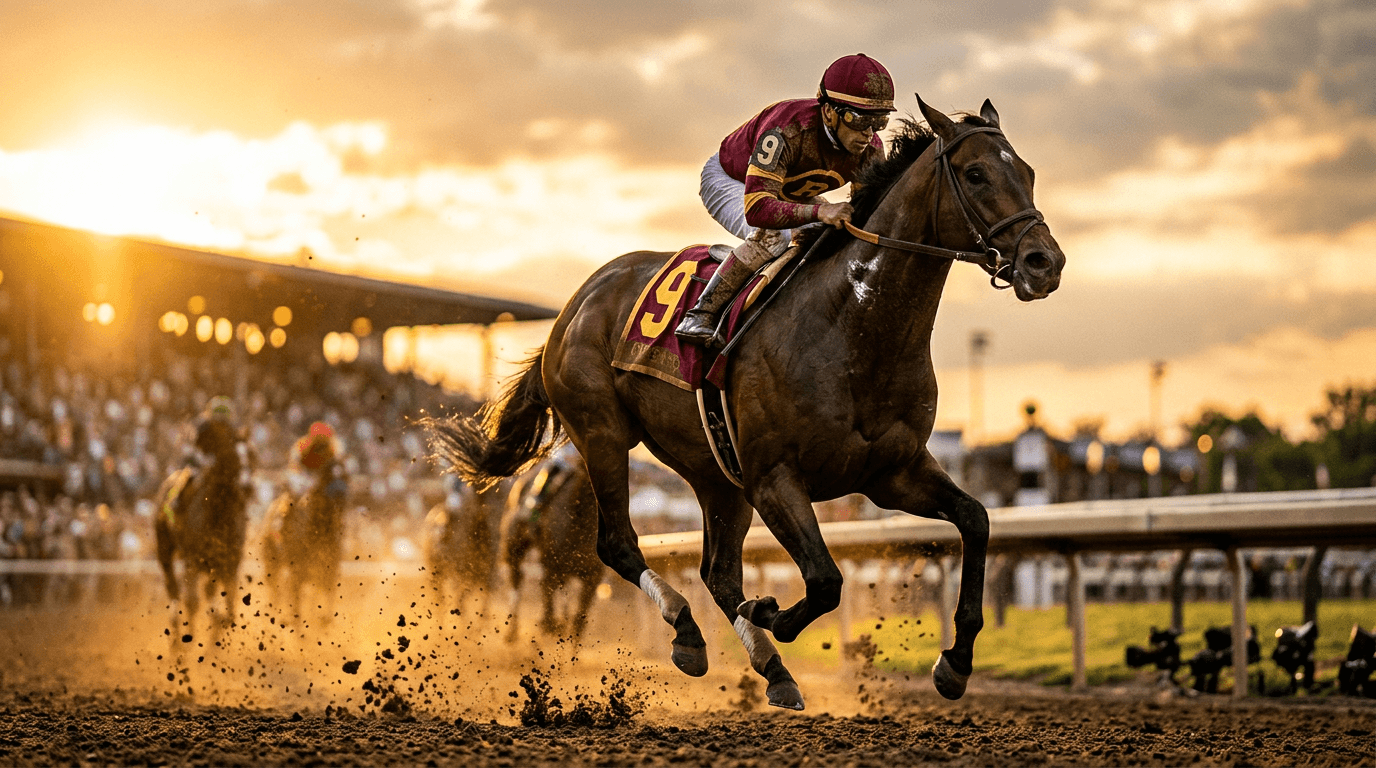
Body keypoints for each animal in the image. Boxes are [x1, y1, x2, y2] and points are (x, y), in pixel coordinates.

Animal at [153, 417, 249, 638]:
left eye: (251, 456)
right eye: (233, 457)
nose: (248, 486)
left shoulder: (229, 562)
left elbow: (228, 601)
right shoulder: (193, 559)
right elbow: (193, 601)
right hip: (165, 548)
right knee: (174, 588)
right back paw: (177, 637)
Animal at [499, 447, 605, 643]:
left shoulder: (592, 577)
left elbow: (577, 623)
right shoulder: (552, 567)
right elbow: (550, 617)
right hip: (515, 547)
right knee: (516, 578)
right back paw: (512, 632)